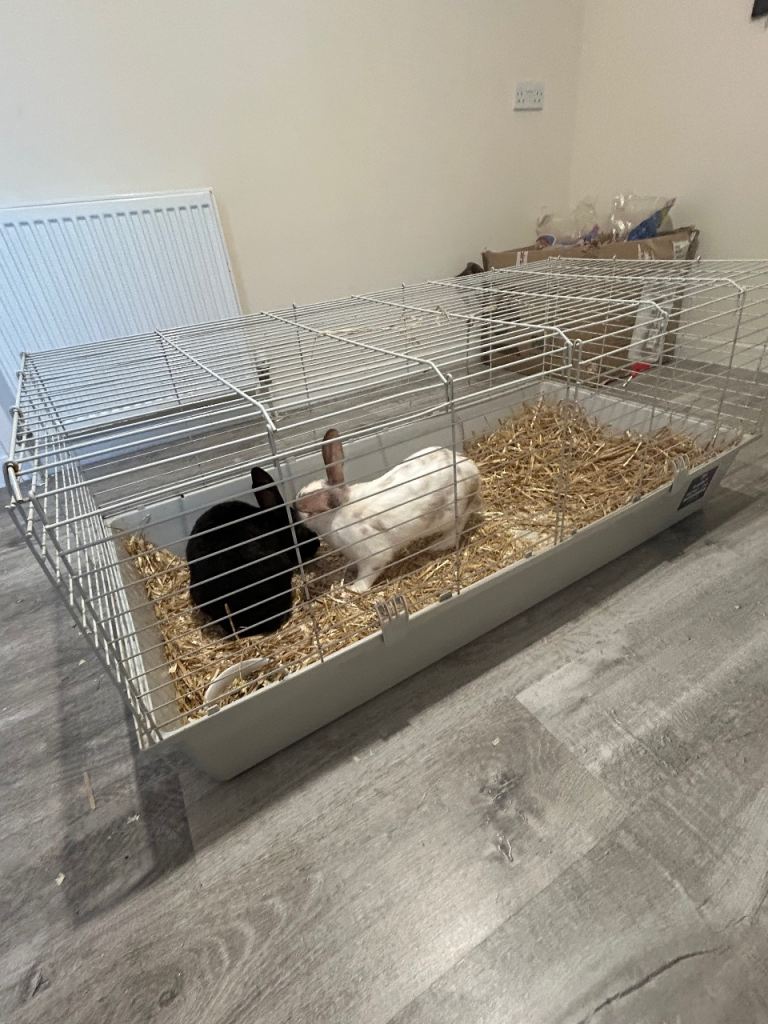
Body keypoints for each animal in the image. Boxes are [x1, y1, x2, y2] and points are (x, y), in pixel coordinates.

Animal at [294, 429, 481, 594]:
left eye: (310, 510)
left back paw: (437, 545)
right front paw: (348, 569)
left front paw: (353, 589)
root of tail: (472, 470)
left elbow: (368, 574)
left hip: (452, 514)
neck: (339, 512)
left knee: (457, 528)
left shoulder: (374, 554)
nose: (296, 509)